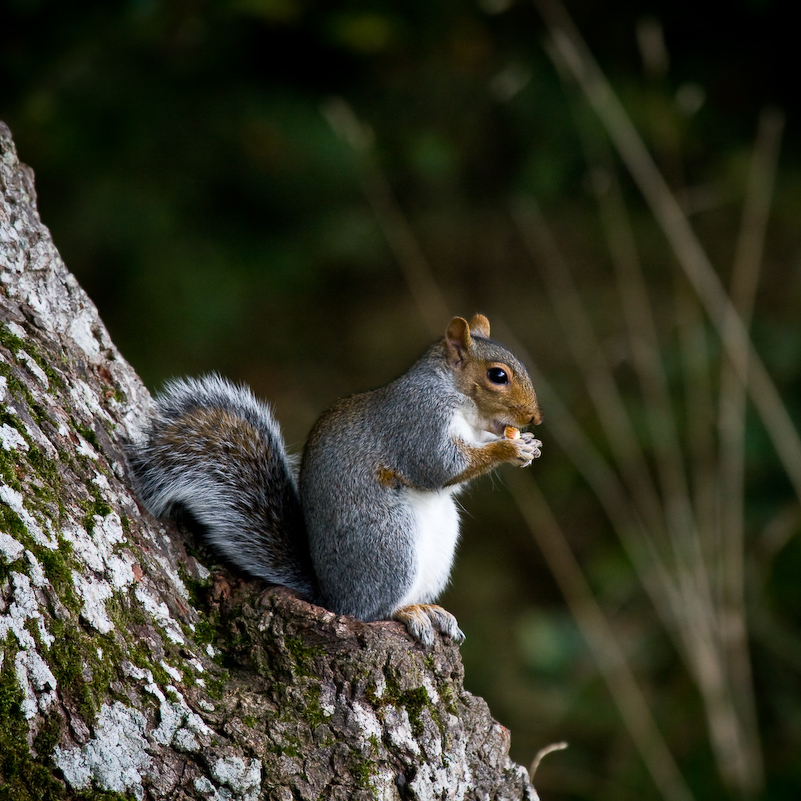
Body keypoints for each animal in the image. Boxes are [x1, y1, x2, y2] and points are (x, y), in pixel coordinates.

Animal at [128, 312, 540, 644]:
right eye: (497, 376)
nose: (535, 418)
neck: (457, 398)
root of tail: (331, 596)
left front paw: (527, 445)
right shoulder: (417, 420)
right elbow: (436, 467)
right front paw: (507, 450)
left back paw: (430, 610)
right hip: (389, 542)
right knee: (371, 612)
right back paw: (406, 612)